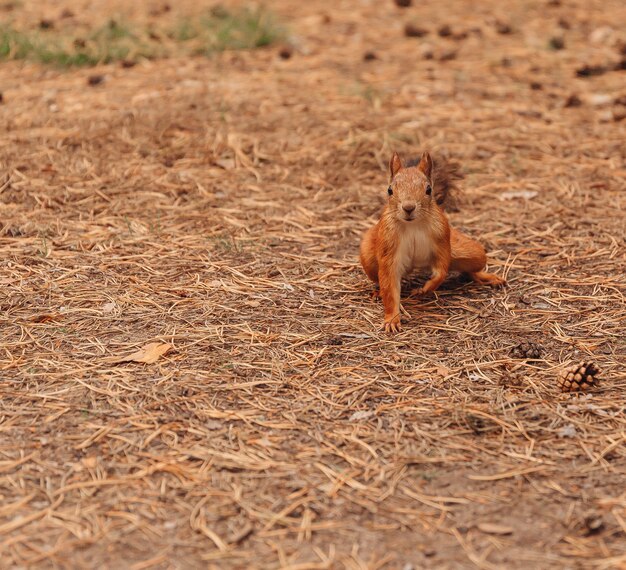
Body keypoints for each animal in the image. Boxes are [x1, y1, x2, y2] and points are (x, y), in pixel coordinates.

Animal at [358, 151, 504, 332]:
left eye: (429, 189)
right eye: (389, 190)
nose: (408, 208)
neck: (413, 224)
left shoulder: (442, 238)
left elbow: (441, 270)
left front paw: (424, 290)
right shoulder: (388, 246)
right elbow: (389, 285)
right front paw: (391, 319)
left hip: (473, 252)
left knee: (470, 267)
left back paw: (486, 277)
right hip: (368, 257)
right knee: (379, 279)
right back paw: (378, 293)